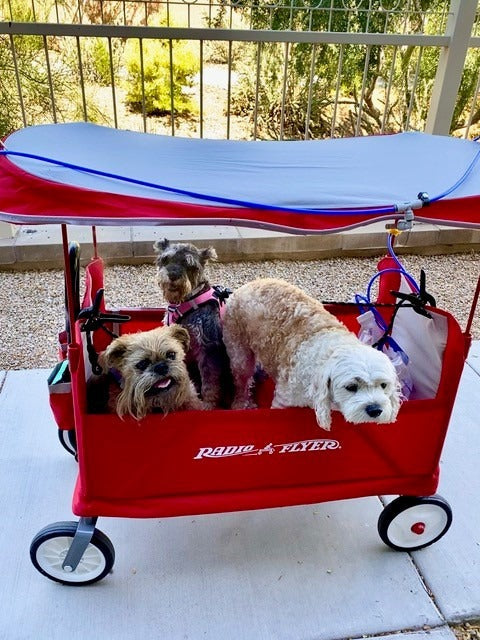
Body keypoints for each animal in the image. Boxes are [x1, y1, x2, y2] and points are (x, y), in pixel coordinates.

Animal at [223, 278, 404, 430]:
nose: (375, 409)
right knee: (241, 381)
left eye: (383, 385)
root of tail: (251, 283)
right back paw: (241, 404)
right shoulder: (283, 401)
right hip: (239, 352)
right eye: (351, 387)